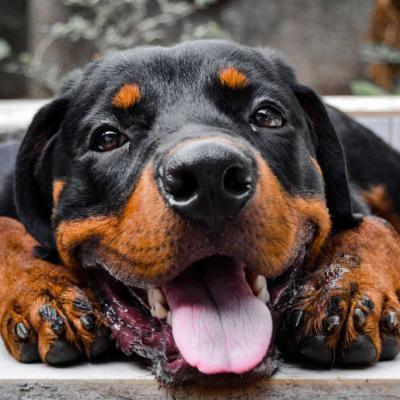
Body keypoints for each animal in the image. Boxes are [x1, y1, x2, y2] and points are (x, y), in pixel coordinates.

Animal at [0, 40, 400, 384]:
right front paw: (46, 290)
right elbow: (8, 229)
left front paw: (343, 289)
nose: (209, 175)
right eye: (108, 138)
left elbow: (373, 227)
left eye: (267, 116)